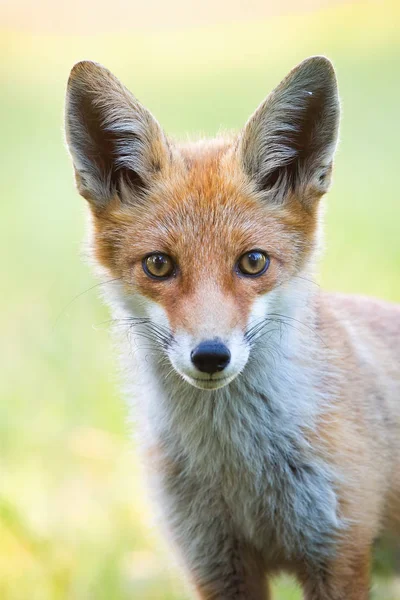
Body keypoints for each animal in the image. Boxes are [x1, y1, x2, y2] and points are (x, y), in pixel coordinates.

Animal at [65, 57, 400, 600]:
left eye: (253, 262)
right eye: (158, 265)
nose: (210, 355)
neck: (236, 469)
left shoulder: (339, 551)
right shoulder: (215, 561)